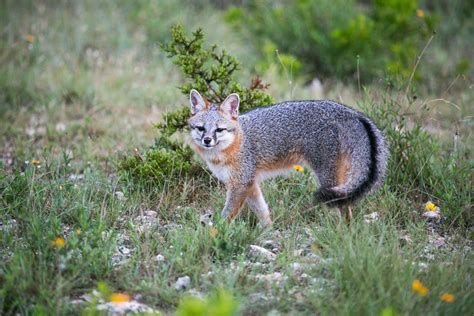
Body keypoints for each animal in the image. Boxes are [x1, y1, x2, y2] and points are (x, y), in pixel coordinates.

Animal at [187, 90, 386, 226]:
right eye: (201, 128)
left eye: (219, 130)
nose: (207, 140)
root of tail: (352, 113)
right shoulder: (250, 184)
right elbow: (262, 211)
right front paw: (267, 231)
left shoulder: (240, 185)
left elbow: (226, 214)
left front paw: (216, 232)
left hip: (328, 179)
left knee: (344, 206)